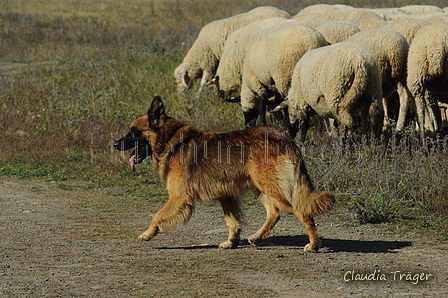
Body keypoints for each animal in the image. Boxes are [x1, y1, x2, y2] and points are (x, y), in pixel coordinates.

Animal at [114, 95, 334, 251]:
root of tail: (283, 136)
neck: (171, 141)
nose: (115, 144)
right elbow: (232, 221)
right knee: (274, 214)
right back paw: (257, 237)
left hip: (272, 188)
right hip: (263, 188)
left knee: (302, 213)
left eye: (133, 132)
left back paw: (313, 245)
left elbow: (157, 215)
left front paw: (148, 234)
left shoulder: (179, 197)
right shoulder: (226, 195)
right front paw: (231, 242)